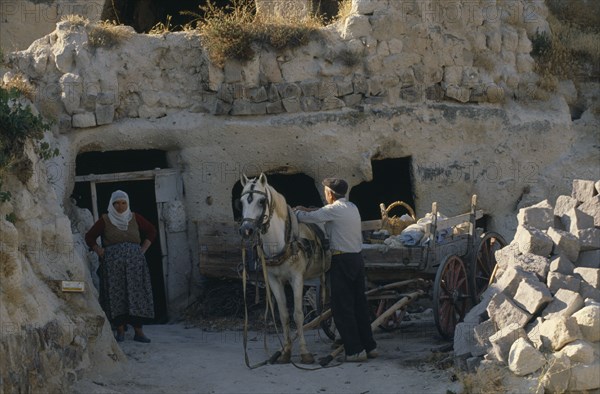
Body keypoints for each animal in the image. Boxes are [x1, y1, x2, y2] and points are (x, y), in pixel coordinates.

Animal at [238, 174, 330, 364]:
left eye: (261, 201)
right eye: (241, 202)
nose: (246, 230)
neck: (282, 242)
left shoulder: (297, 278)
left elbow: (298, 314)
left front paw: (304, 353)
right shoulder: (274, 280)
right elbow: (283, 315)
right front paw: (286, 351)